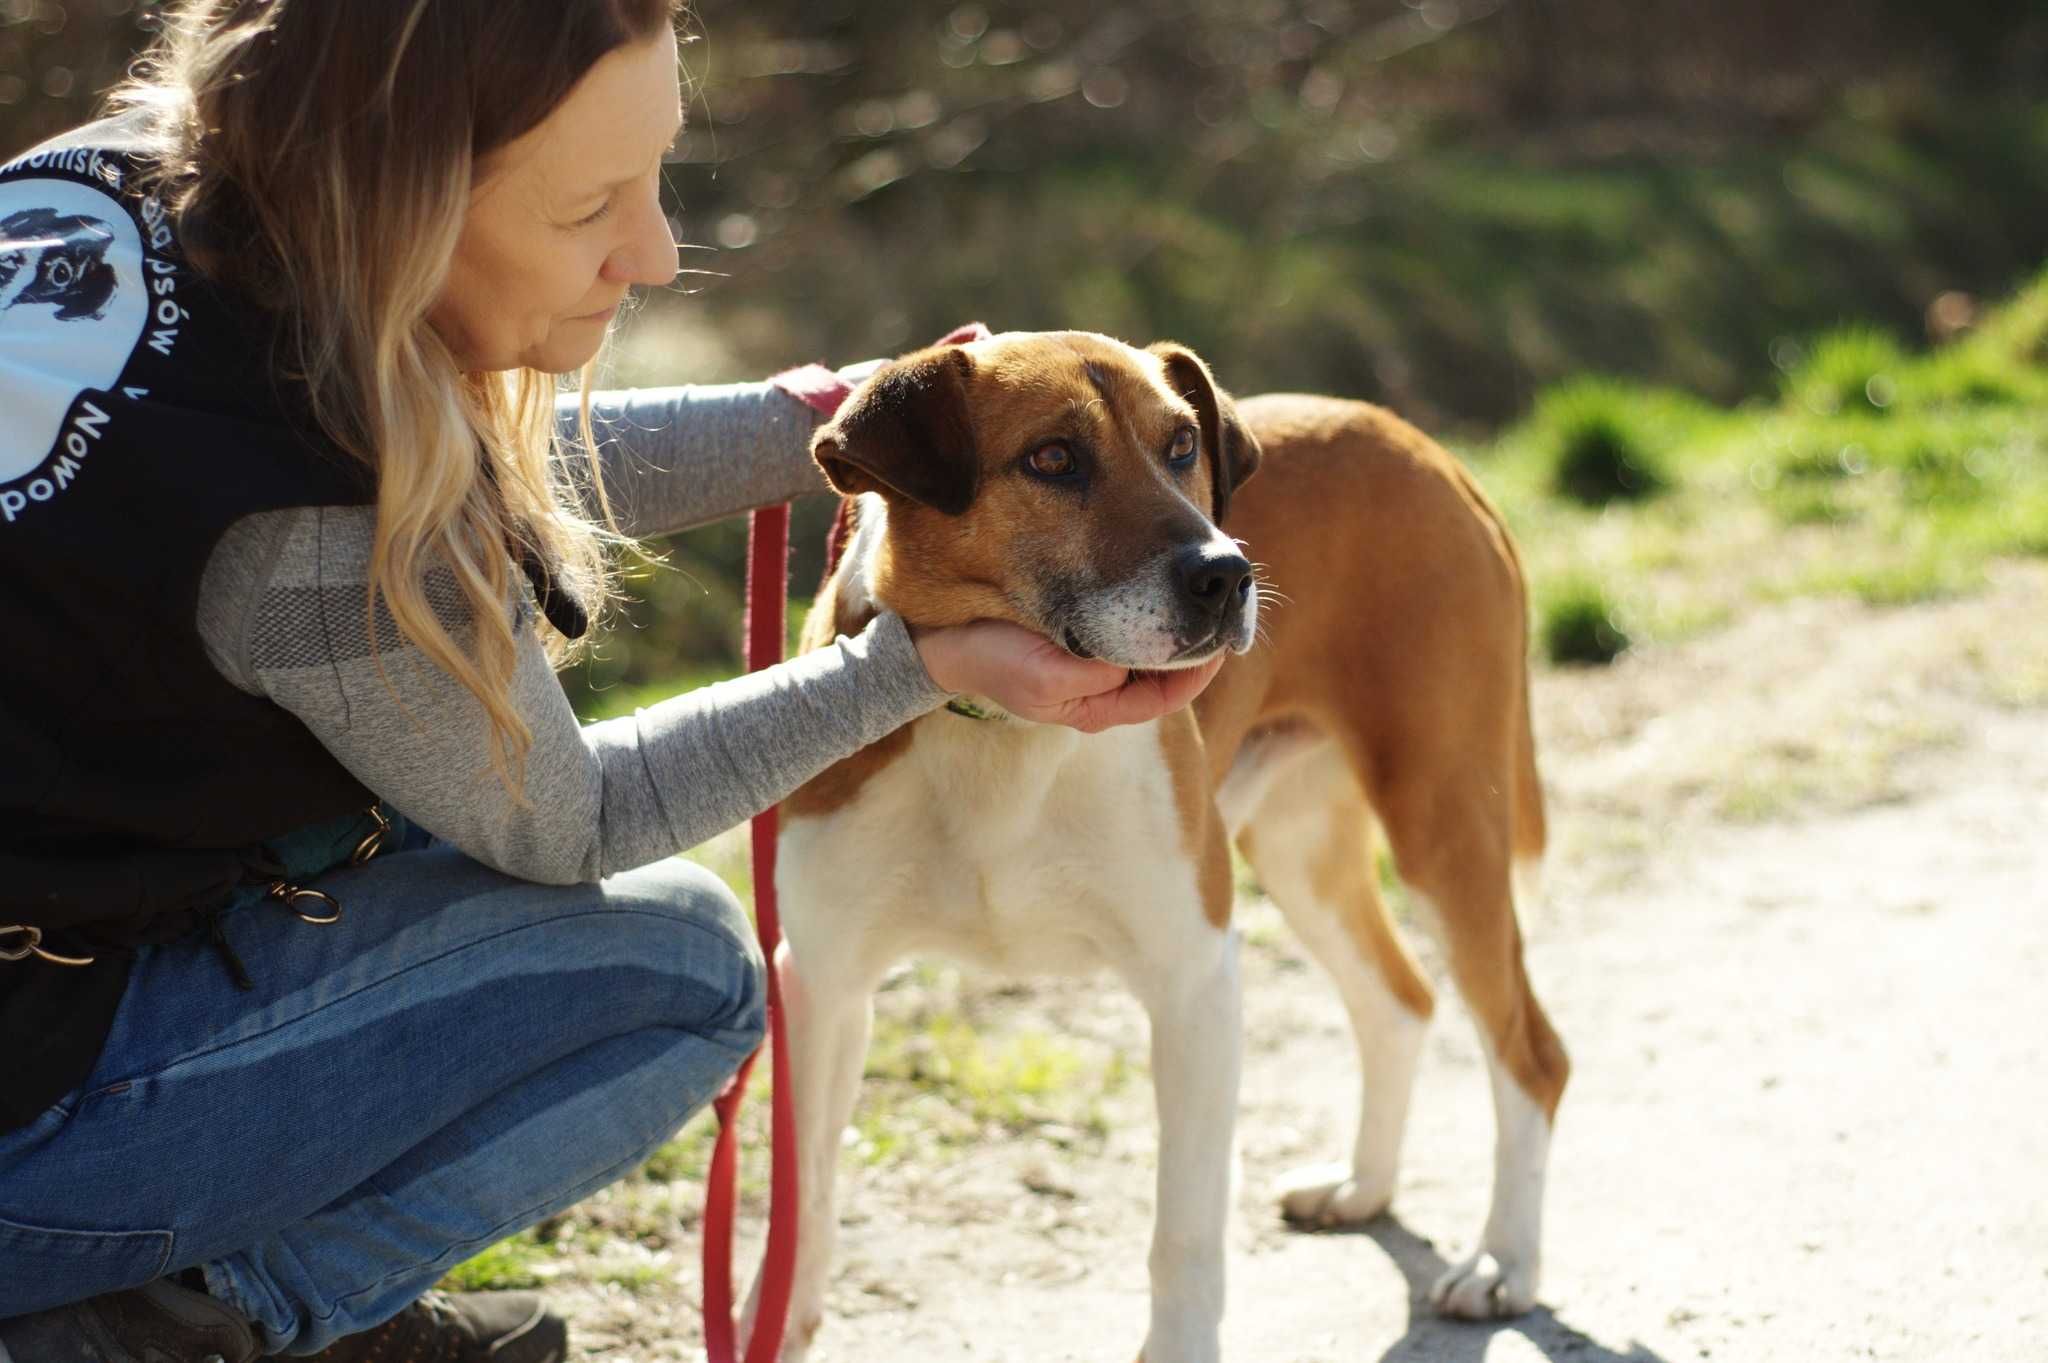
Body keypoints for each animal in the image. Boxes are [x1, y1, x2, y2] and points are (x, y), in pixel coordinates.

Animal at [753, 331, 1564, 1358]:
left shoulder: (1193, 979)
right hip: (1302, 850)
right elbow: (803, 1198)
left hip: (1443, 827)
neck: (1001, 734)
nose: (1227, 574)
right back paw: (1363, 1187)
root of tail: (1417, 442)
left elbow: (1184, 1228)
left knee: (1531, 1051)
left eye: (1182, 446)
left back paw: (1503, 1262)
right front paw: (773, 1322)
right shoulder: (823, 982)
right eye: (1053, 458)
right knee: (1403, 1002)